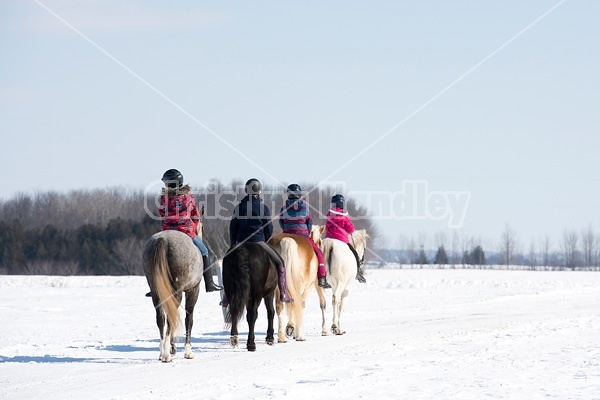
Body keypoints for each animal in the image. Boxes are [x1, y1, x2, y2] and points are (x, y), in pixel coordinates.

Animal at [143, 228, 204, 362]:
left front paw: (173, 348)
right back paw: (166, 354)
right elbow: (189, 320)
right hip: (177, 292)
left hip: (156, 293)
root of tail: (162, 240)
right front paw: (188, 352)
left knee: (161, 318)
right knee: (171, 318)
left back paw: (162, 352)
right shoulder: (193, 290)